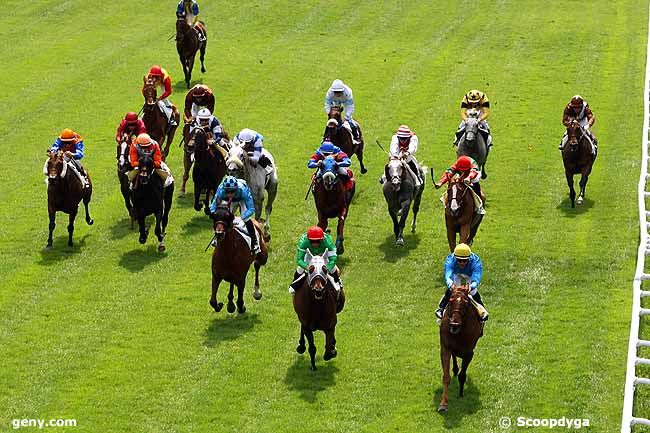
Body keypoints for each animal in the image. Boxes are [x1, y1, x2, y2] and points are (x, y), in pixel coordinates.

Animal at [436, 284, 480, 412]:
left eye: (466, 302)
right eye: (450, 300)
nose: (454, 325)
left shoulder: (469, 353)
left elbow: (462, 375)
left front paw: (460, 393)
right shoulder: (445, 347)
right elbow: (446, 377)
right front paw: (443, 404)